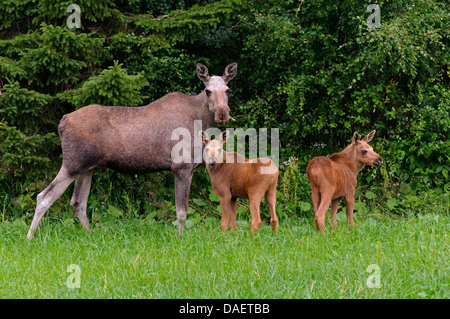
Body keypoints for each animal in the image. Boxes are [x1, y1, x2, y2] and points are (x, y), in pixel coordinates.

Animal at [27, 62, 239, 239]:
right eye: (208, 90)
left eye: (228, 90)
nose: (222, 113)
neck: (201, 120)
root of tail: (62, 122)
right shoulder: (181, 167)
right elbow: (181, 213)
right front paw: (180, 239)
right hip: (73, 163)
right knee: (44, 197)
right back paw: (29, 238)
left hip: (87, 168)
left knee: (78, 201)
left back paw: (90, 235)